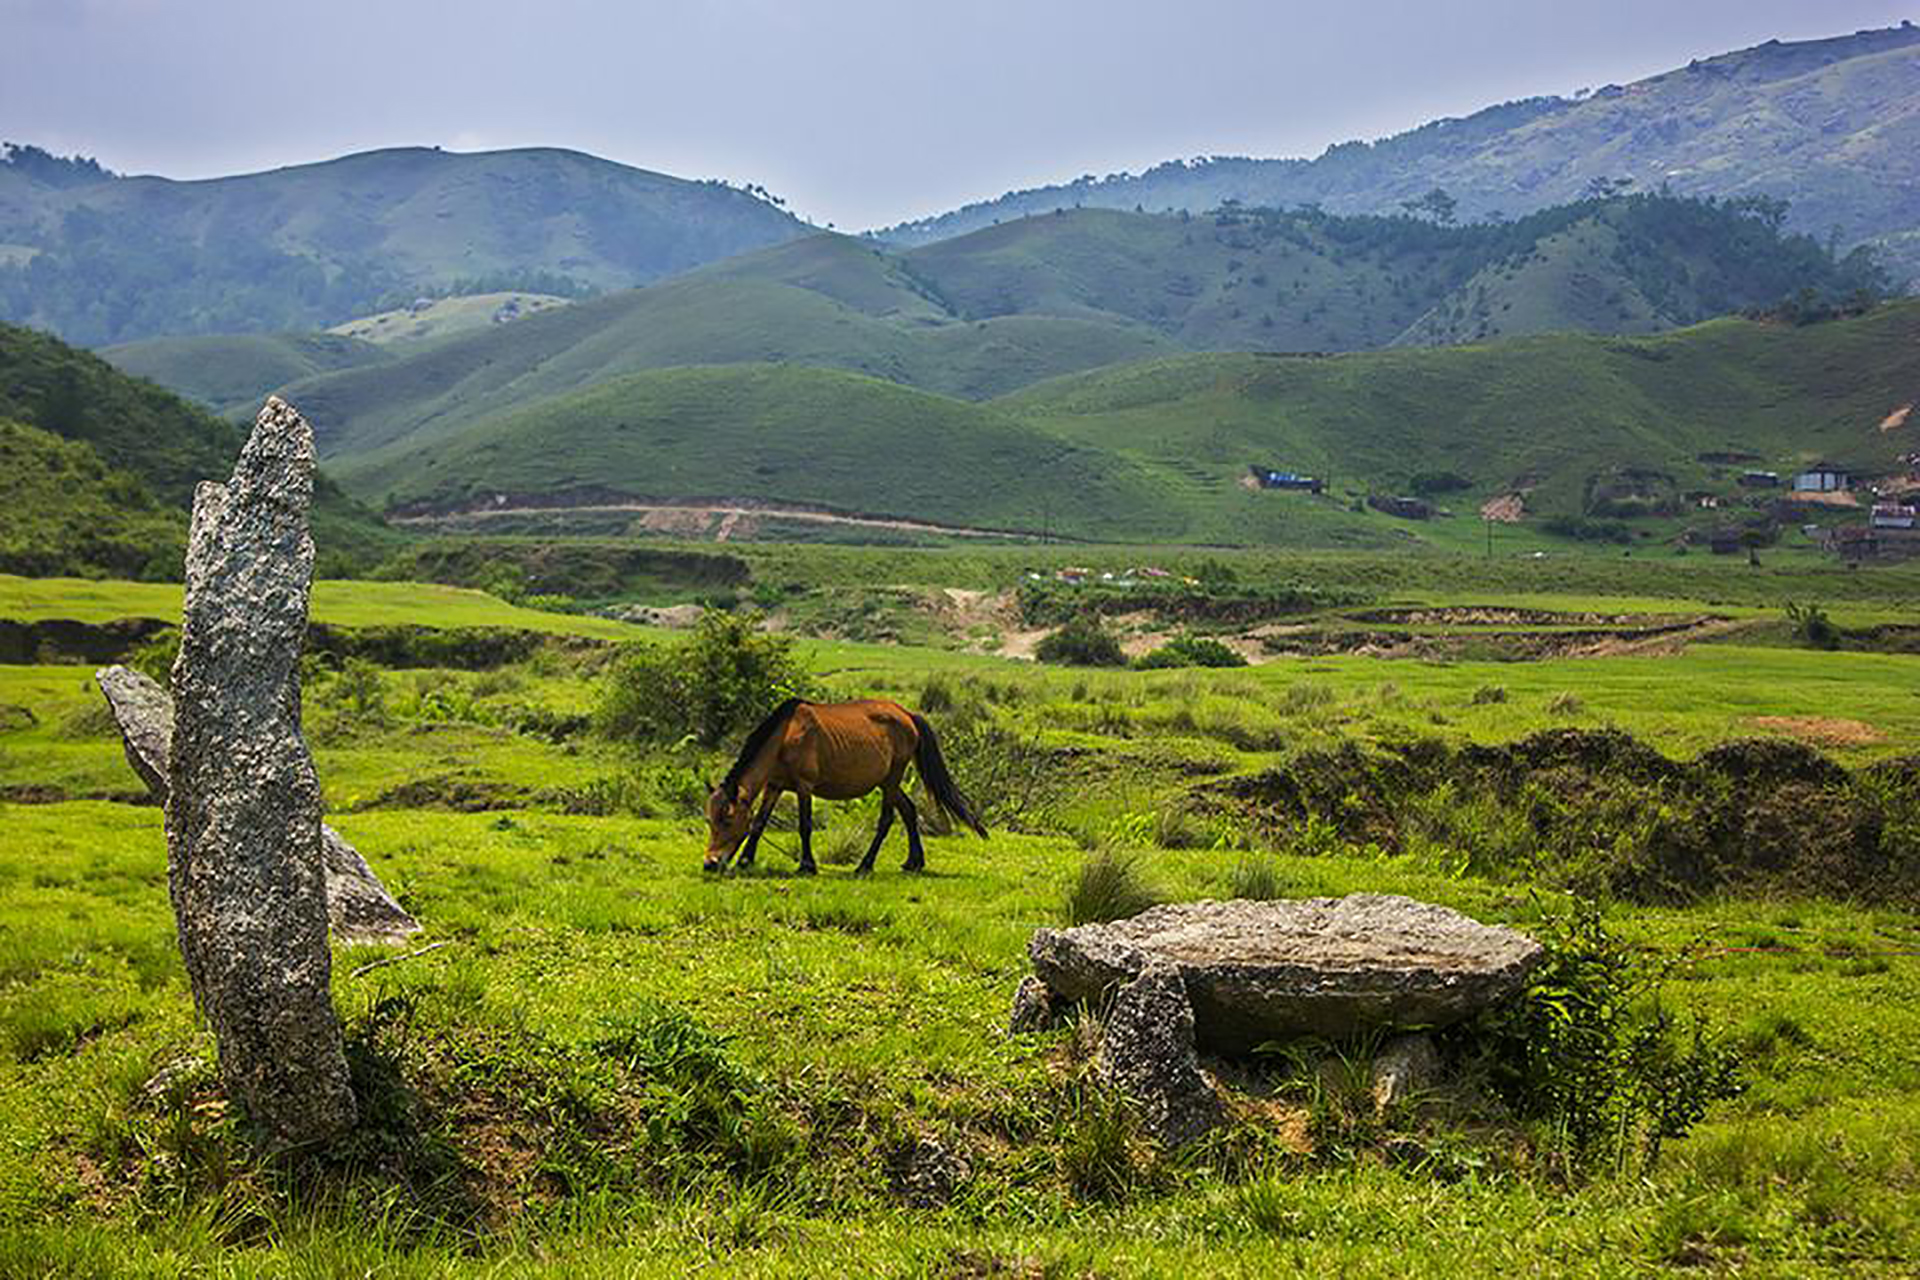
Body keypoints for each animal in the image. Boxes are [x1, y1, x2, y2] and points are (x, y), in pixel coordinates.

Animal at [702, 694, 983, 875]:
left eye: (727, 819)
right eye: (709, 820)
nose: (710, 863)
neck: (785, 737)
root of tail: (907, 715)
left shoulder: (804, 787)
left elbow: (805, 825)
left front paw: (807, 866)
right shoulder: (775, 786)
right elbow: (759, 823)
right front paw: (745, 860)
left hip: (892, 779)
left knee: (887, 819)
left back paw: (865, 866)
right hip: (886, 782)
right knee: (909, 811)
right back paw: (913, 863)